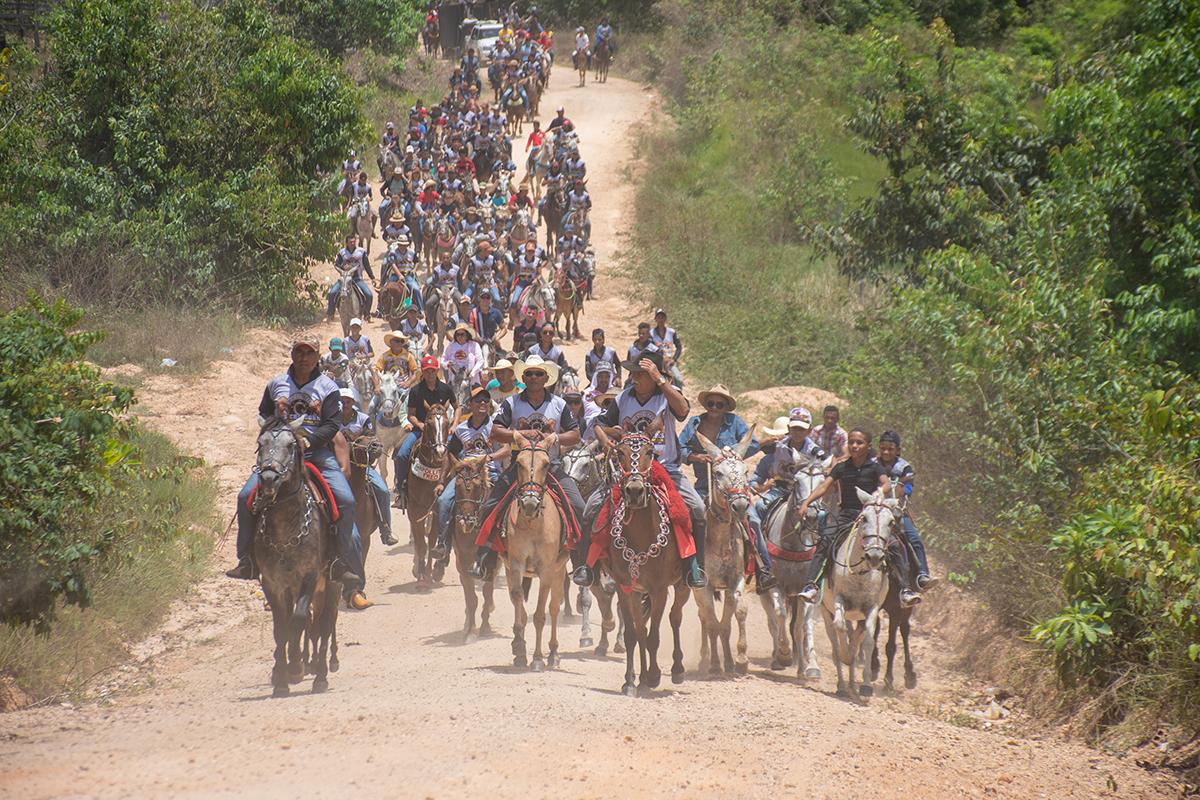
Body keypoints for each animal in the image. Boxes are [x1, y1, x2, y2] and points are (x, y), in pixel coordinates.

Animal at [403, 402, 451, 592]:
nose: (440, 451)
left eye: (447, 423)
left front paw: (429, 575)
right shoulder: (415, 510)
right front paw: (421, 577)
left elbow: (430, 543)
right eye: (428, 424)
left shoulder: (436, 510)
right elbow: (421, 545)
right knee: (417, 540)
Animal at [499, 431, 568, 671]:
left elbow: (539, 615)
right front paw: (520, 648)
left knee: (554, 607)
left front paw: (538, 658)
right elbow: (518, 599)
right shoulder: (516, 564)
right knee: (516, 600)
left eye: (546, 464)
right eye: (518, 463)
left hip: (559, 571)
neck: (532, 523)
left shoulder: (547, 570)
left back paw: (554, 653)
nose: (529, 503)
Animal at [604, 422, 691, 695]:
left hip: (683, 585)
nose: (634, 491)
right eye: (619, 453)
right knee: (643, 628)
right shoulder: (626, 588)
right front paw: (632, 680)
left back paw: (677, 669)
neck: (642, 534)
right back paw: (641, 678)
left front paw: (653, 676)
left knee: (675, 618)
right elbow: (635, 634)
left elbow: (653, 636)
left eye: (650, 452)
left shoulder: (659, 589)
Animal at [820, 489, 897, 700]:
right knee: (836, 643)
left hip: (858, 617)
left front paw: (866, 686)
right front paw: (846, 655)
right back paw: (842, 685)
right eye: (864, 518)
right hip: (825, 611)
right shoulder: (838, 599)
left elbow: (868, 640)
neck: (861, 572)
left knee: (857, 637)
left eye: (891, 522)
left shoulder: (871, 608)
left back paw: (853, 686)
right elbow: (840, 631)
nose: (875, 556)